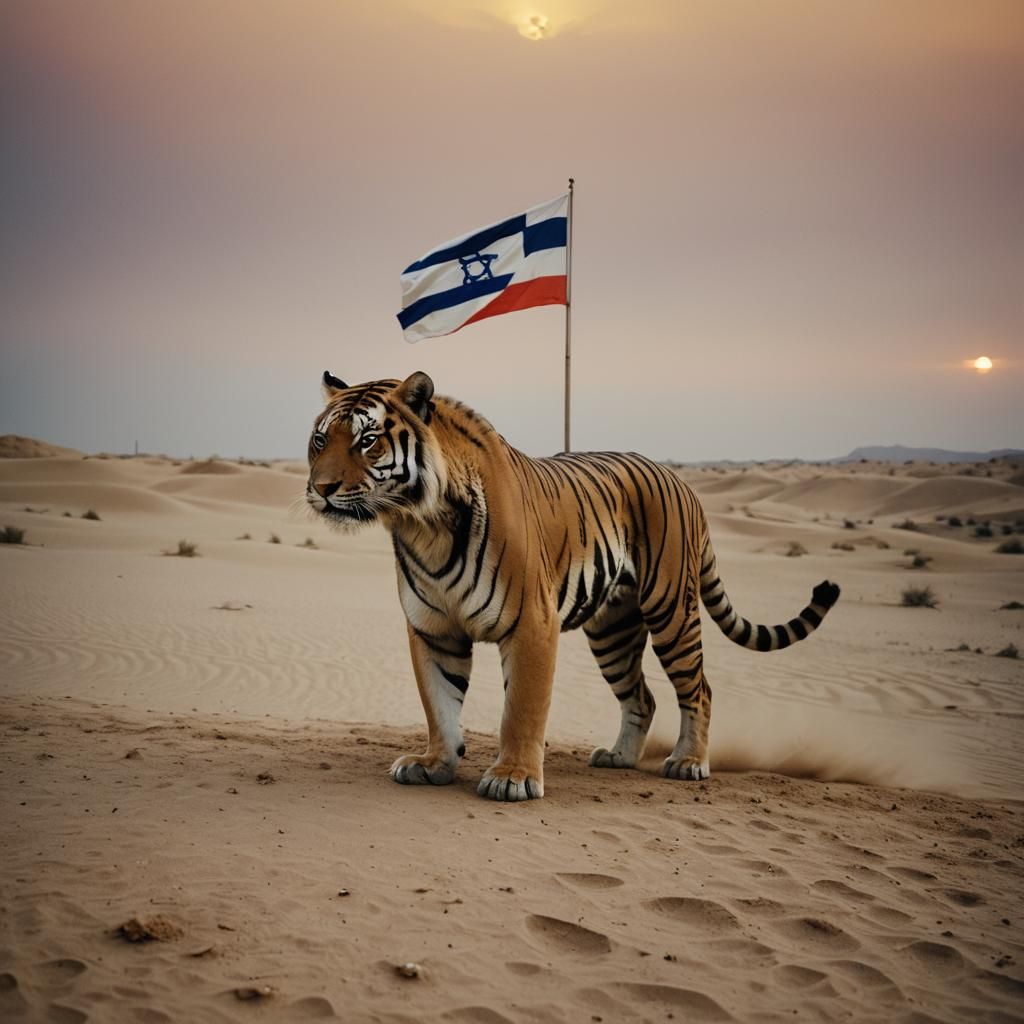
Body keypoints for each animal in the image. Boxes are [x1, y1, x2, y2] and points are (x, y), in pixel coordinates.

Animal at [306, 370, 840, 802]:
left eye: (368, 440)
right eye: (319, 441)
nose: (321, 489)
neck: (423, 523)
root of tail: (681, 481)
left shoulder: (531, 625)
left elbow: (521, 708)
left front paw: (513, 778)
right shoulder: (433, 630)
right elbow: (439, 703)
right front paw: (434, 763)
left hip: (672, 611)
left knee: (699, 689)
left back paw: (689, 763)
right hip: (613, 633)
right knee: (641, 697)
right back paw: (619, 757)